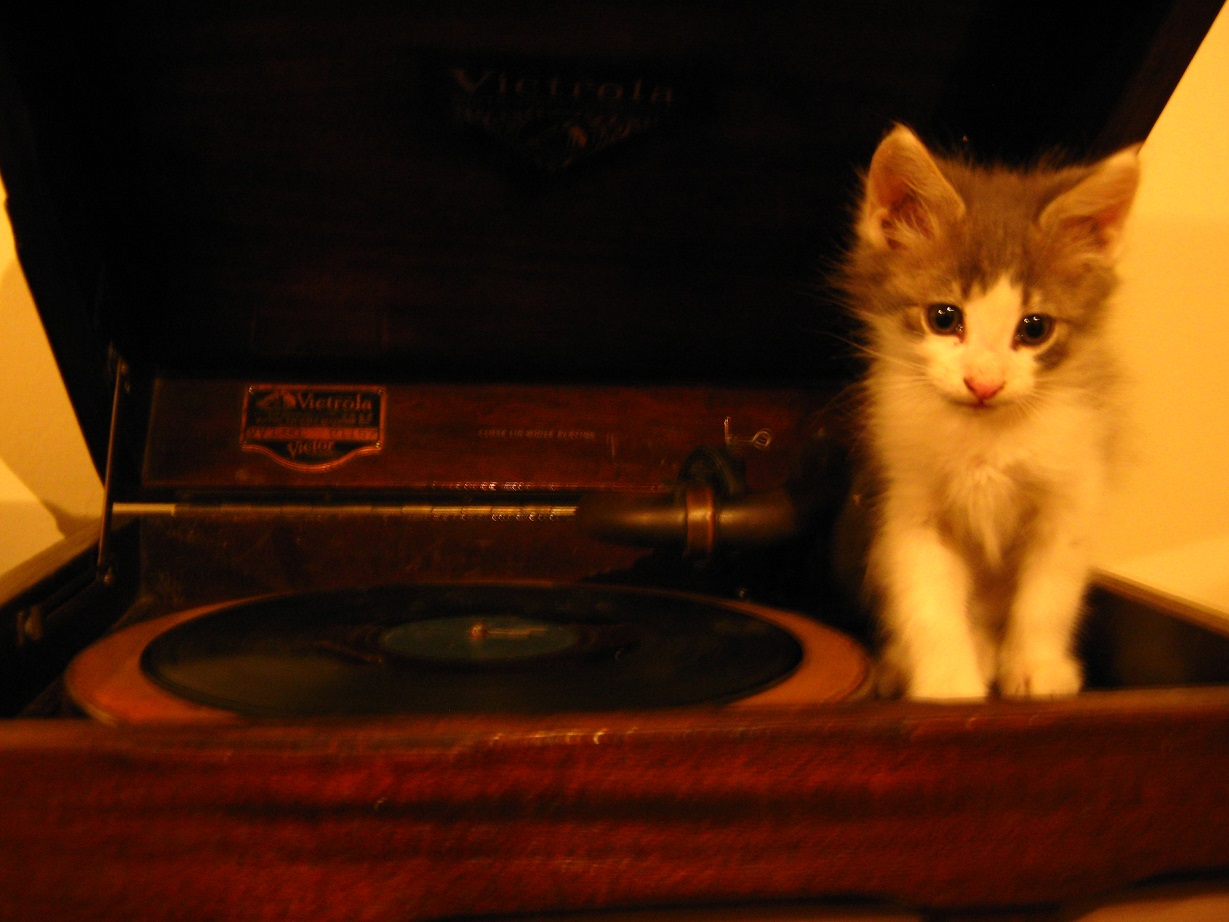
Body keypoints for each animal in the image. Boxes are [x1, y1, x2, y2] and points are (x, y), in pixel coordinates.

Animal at [833, 125, 1139, 700]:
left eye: (1035, 328)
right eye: (943, 317)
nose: (984, 383)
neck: (987, 439)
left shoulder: (1068, 499)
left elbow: (1047, 598)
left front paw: (1037, 668)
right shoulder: (908, 508)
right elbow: (928, 602)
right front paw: (949, 683)